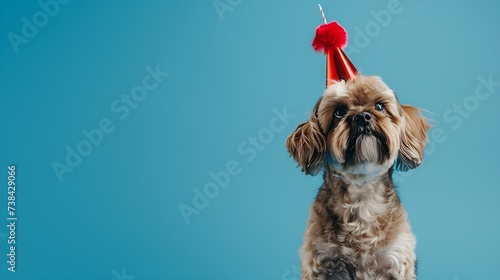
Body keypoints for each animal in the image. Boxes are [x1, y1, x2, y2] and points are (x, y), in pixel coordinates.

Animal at [288, 75, 432, 280]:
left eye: (379, 106)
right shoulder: (321, 263)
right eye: (339, 112)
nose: (362, 116)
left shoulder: (396, 259)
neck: (361, 195)